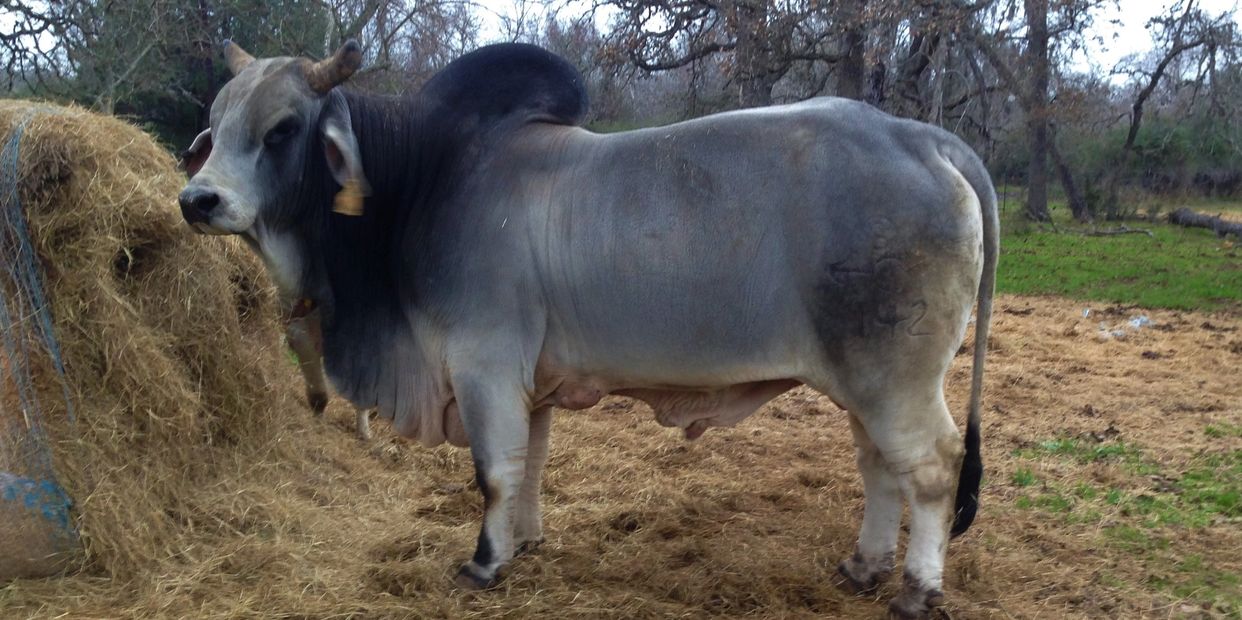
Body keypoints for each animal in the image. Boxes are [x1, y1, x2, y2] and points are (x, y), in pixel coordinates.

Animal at [177, 40, 997, 618]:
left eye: (282, 129)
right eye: (215, 124)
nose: (197, 200)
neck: (425, 182)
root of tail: (921, 137)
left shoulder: (482, 365)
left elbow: (492, 470)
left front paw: (484, 562)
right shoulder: (527, 384)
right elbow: (530, 464)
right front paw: (526, 542)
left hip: (896, 376)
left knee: (931, 467)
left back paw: (915, 590)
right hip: (864, 382)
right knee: (880, 468)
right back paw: (862, 568)